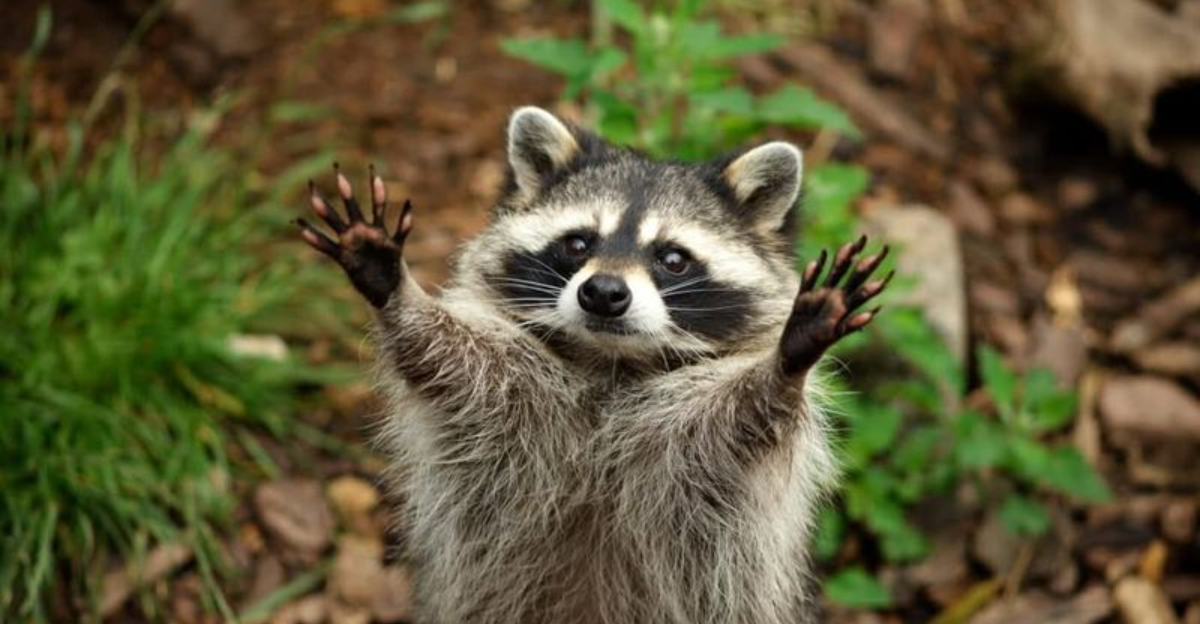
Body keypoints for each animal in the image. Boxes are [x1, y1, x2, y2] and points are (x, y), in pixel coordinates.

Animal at [297, 106, 891, 624]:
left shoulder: (700, 444)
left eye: (672, 258)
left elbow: (746, 419)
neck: (611, 362)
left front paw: (788, 362)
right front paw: (396, 292)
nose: (603, 293)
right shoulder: (508, 391)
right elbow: (446, 360)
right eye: (578, 243)